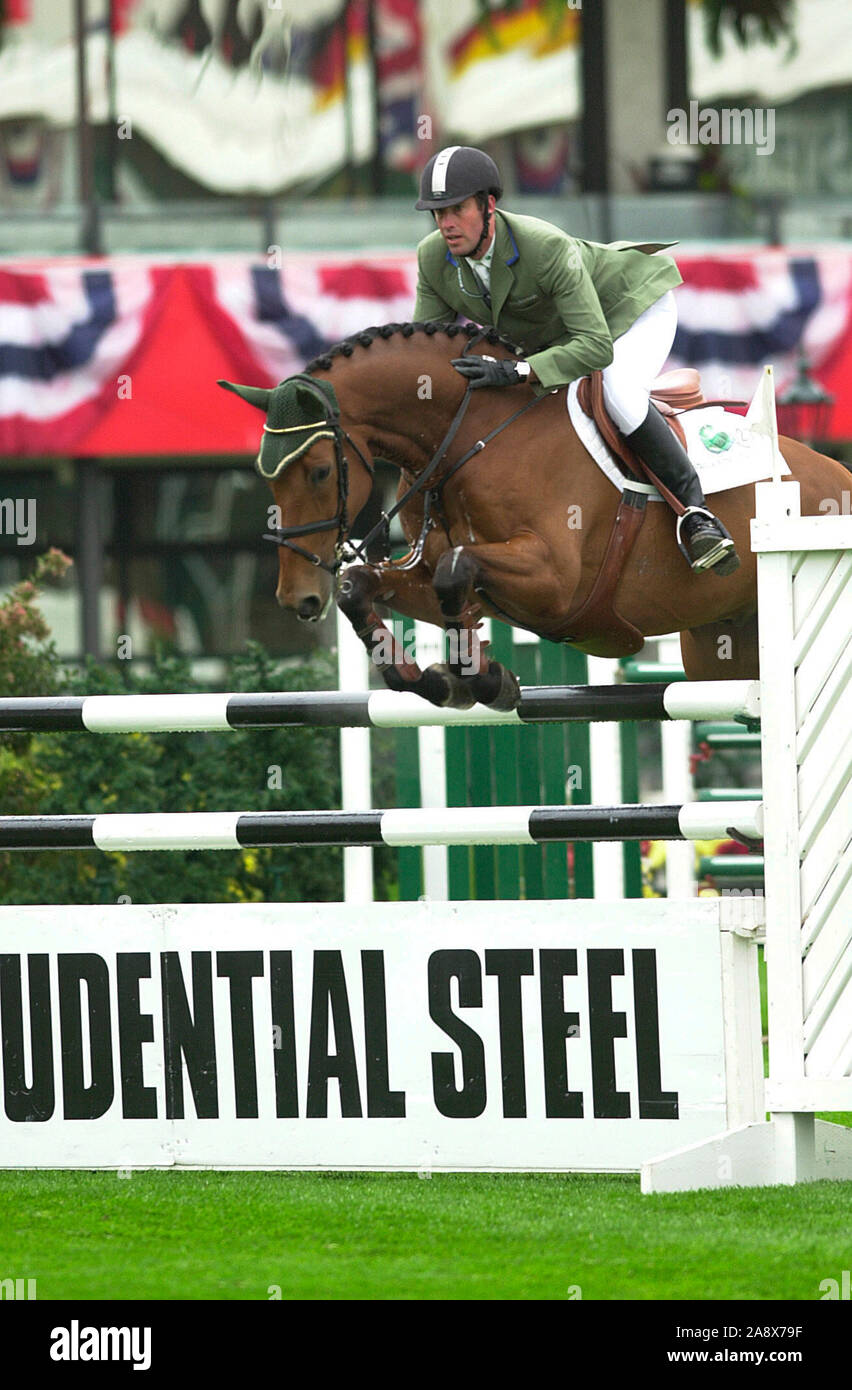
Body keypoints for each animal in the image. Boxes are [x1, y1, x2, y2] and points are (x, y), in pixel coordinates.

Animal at [220, 321, 850, 711]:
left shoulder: (554, 581)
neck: (477, 437)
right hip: (721, 651)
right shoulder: (440, 574)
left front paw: (481, 677)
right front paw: (434, 679)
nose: (298, 599)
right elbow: (365, 584)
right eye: (265, 474)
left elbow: (455, 570)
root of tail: (834, 473)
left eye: (320, 471)